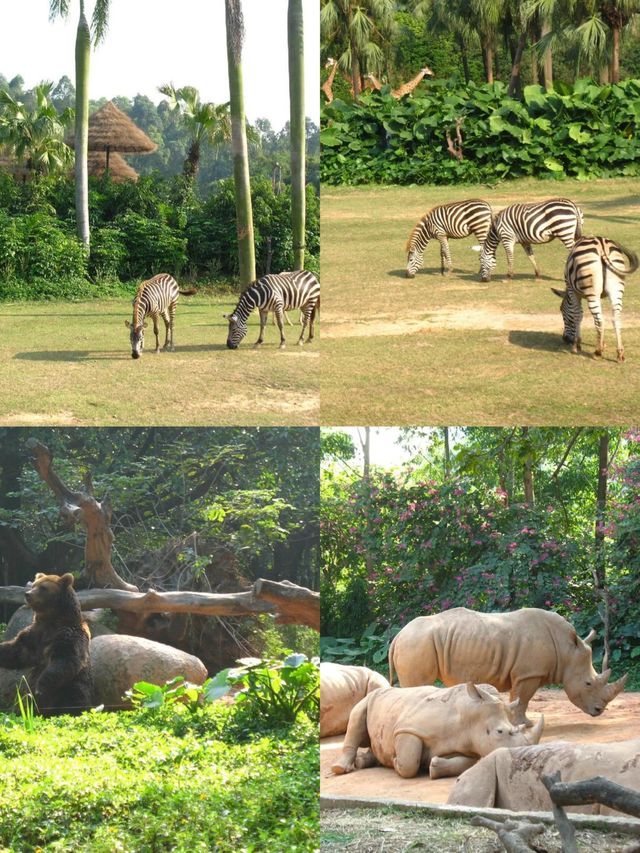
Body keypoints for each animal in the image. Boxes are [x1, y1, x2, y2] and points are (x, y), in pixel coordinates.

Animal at [0, 568, 92, 716]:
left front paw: (41, 687)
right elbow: (17, 650)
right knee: (25, 701)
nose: (27, 594)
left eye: (43, 587)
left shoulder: (68, 634)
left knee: (74, 700)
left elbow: (65, 659)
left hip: (73, 686)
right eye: (33, 585)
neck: (52, 620)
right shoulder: (35, 634)